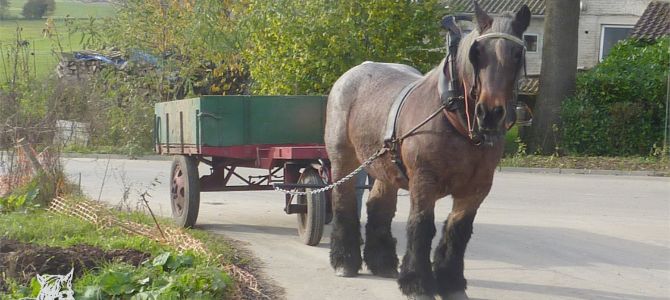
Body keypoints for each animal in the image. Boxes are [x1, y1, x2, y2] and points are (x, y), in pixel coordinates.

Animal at [322, 2, 532, 300]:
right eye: (478, 52)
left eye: (517, 53)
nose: (490, 113)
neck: (455, 119)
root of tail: (354, 73)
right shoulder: (424, 180)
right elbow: (421, 227)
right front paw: (417, 284)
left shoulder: (477, 187)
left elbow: (458, 230)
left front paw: (451, 283)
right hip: (344, 158)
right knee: (344, 201)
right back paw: (344, 260)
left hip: (385, 168)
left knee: (378, 206)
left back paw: (382, 261)